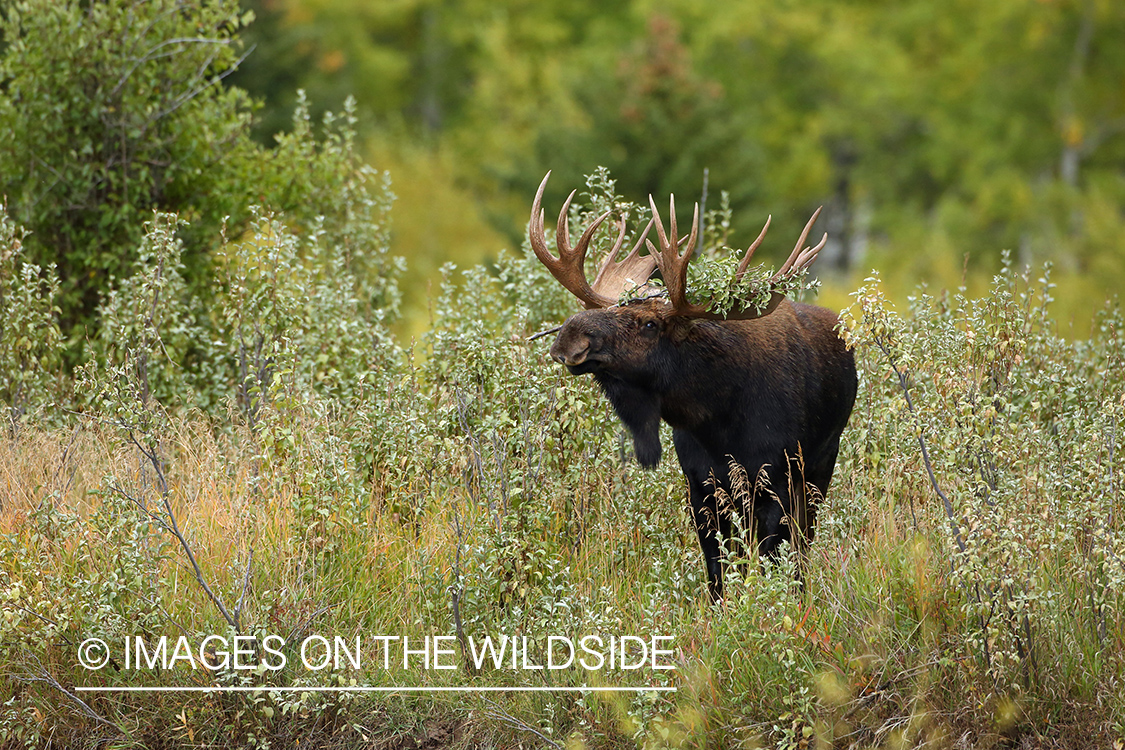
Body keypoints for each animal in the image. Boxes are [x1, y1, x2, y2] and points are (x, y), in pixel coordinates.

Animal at [530, 172, 857, 601]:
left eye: (650, 324)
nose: (569, 336)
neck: (718, 420)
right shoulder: (701, 486)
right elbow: (718, 573)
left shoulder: (776, 482)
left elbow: (772, 563)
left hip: (820, 464)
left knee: (803, 548)